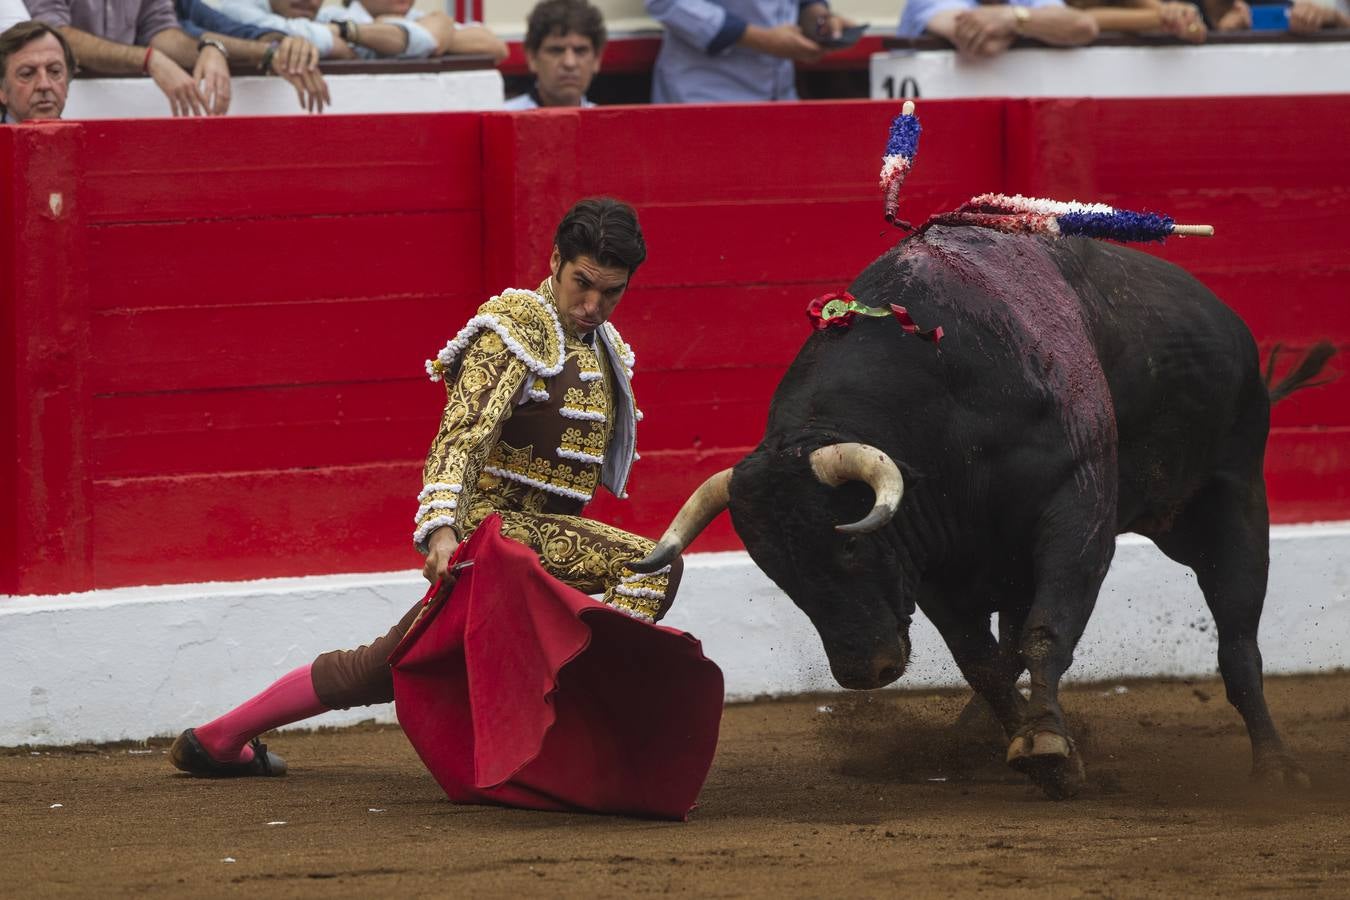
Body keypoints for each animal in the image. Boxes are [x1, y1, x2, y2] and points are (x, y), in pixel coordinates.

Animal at [637, 226, 1333, 804]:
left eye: (850, 546)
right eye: (780, 574)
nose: (864, 671)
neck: (951, 409)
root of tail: (1222, 316)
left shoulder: (1075, 519)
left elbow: (1046, 631)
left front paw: (1046, 744)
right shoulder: (932, 563)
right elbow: (985, 659)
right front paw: (1039, 748)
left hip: (1230, 502)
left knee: (1238, 640)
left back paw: (1277, 769)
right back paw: (970, 741)